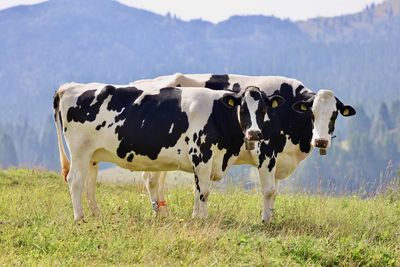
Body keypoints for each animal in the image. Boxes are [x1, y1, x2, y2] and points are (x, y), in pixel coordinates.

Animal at [53, 82, 284, 223]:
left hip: (92, 155)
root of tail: (69, 86)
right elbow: (203, 191)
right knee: (75, 181)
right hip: (80, 151)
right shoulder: (202, 155)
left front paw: (196, 217)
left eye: (263, 109)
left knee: (89, 184)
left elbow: (197, 190)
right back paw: (79, 218)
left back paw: (97, 216)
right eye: (242, 109)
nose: (254, 133)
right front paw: (202, 219)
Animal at [131, 73, 356, 222]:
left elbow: (275, 192)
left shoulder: (279, 158)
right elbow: (268, 190)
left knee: (155, 179)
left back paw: (163, 213)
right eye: (312, 113)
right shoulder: (265, 150)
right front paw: (265, 221)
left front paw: (272, 216)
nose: (321, 141)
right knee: (151, 179)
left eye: (334, 114)